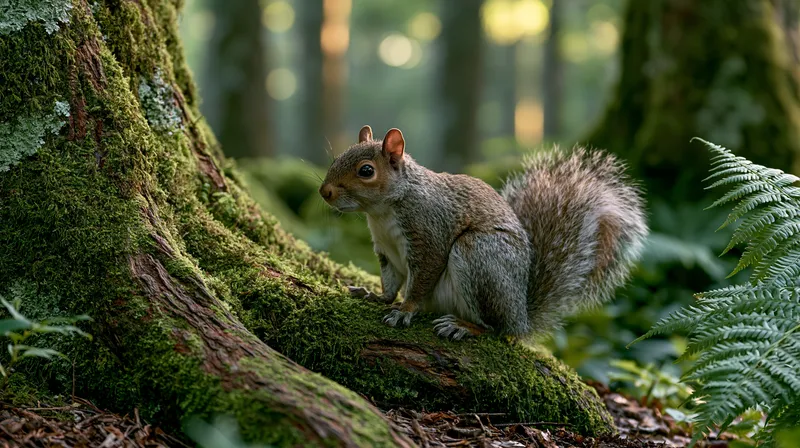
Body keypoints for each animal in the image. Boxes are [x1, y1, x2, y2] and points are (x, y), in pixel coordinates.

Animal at [319, 125, 648, 340]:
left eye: (366, 171)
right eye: (337, 158)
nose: (324, 192)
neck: (383, 212)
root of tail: (521, 317)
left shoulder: (429, 234)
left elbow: (421, 280)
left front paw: (405, 310)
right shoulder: (385, 250)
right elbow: (389, 283)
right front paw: (375, 295)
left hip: (478, 255)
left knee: (495, 328)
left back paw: (464, 327)